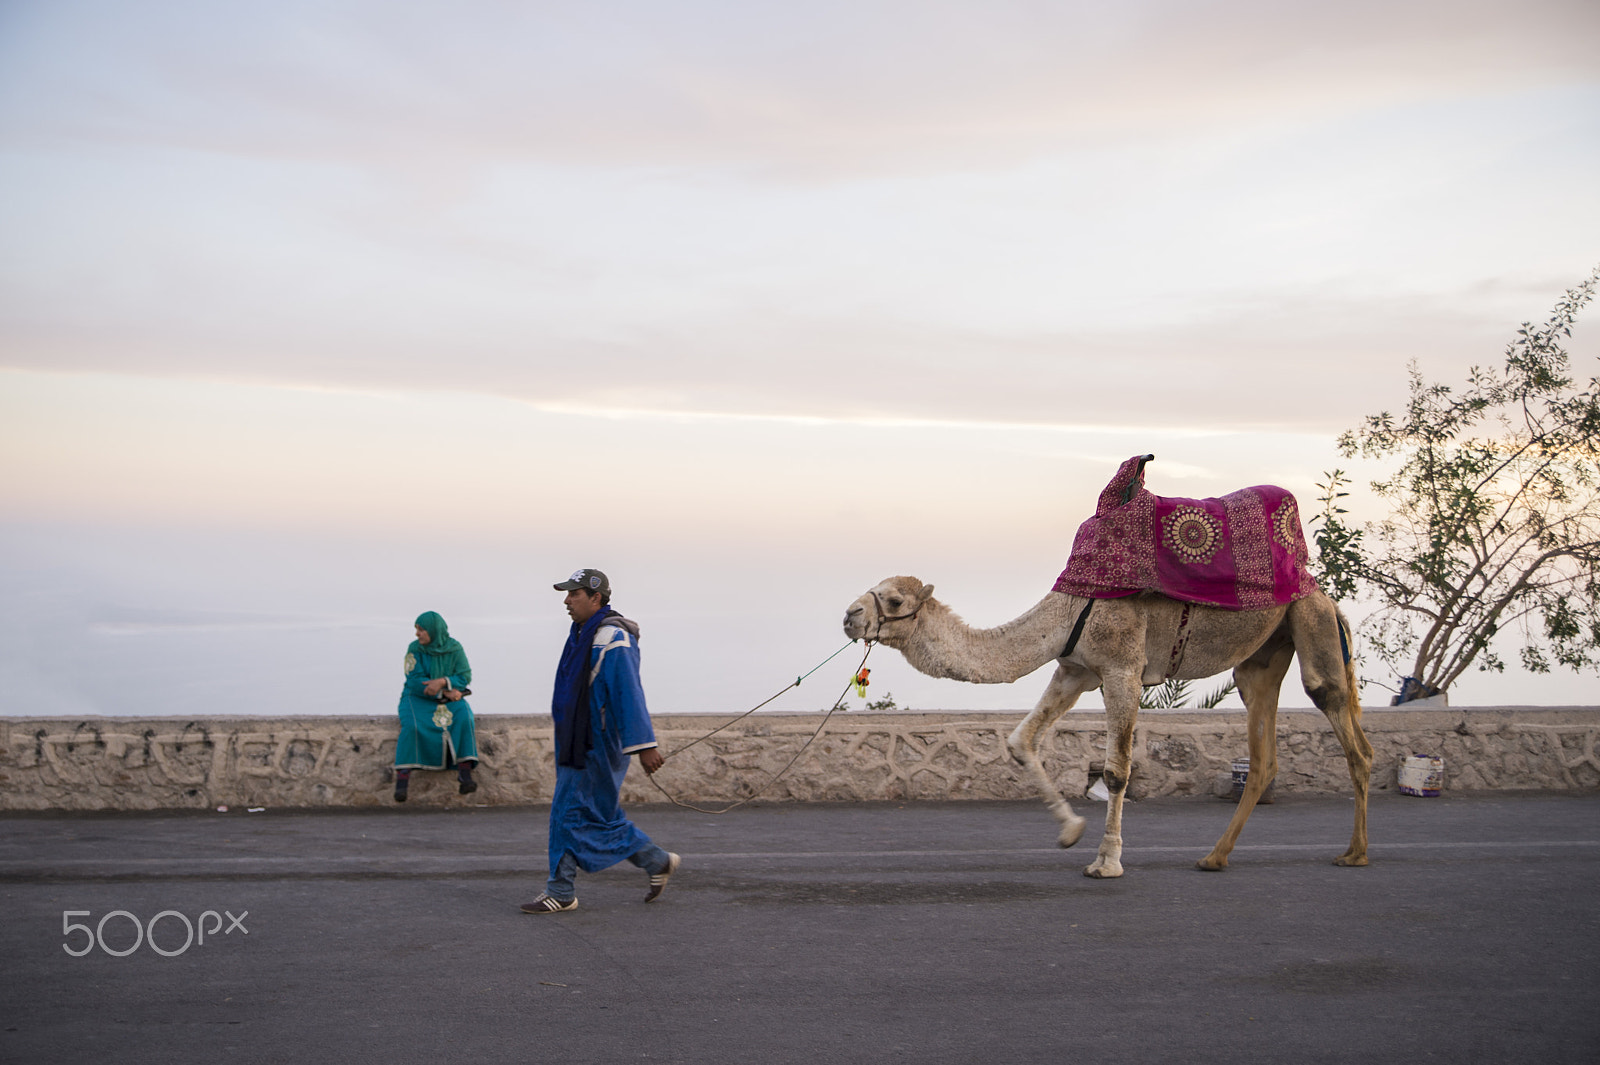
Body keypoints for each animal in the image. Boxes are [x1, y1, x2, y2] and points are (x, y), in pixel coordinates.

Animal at [841, 578, 1374, 878]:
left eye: (892, 599)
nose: (849, 615)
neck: (1065, 616)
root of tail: (1328, 598)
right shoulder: (1075, 670)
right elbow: (1021, 741)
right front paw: (1071, 831)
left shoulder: (1123, 670)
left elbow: (1118, 772)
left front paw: (1107, 862)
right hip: (1262, 657)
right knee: (1263, 758)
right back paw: (1214, 858)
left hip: (1311, 627)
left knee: (1349, 733)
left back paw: (1354, 854)